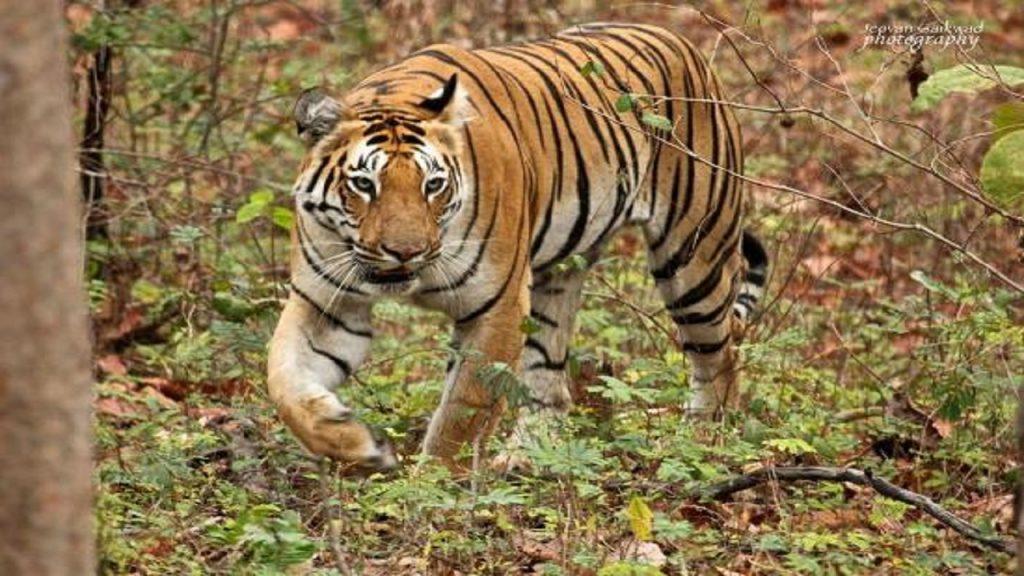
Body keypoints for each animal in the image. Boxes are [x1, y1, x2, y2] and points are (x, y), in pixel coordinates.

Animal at [267, 22, 770, 471]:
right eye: (364, 184)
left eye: (433, 185)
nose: (406, 252)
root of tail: (684, 42)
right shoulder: (328, 304)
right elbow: (284, 381)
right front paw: (353, 442)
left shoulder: (498, 307)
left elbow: (462, 414)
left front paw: (433, 490)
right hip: (558, 275)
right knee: (550, 376)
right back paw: (527, 455)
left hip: (694, 258)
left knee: (721, 357)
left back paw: (703, 442)